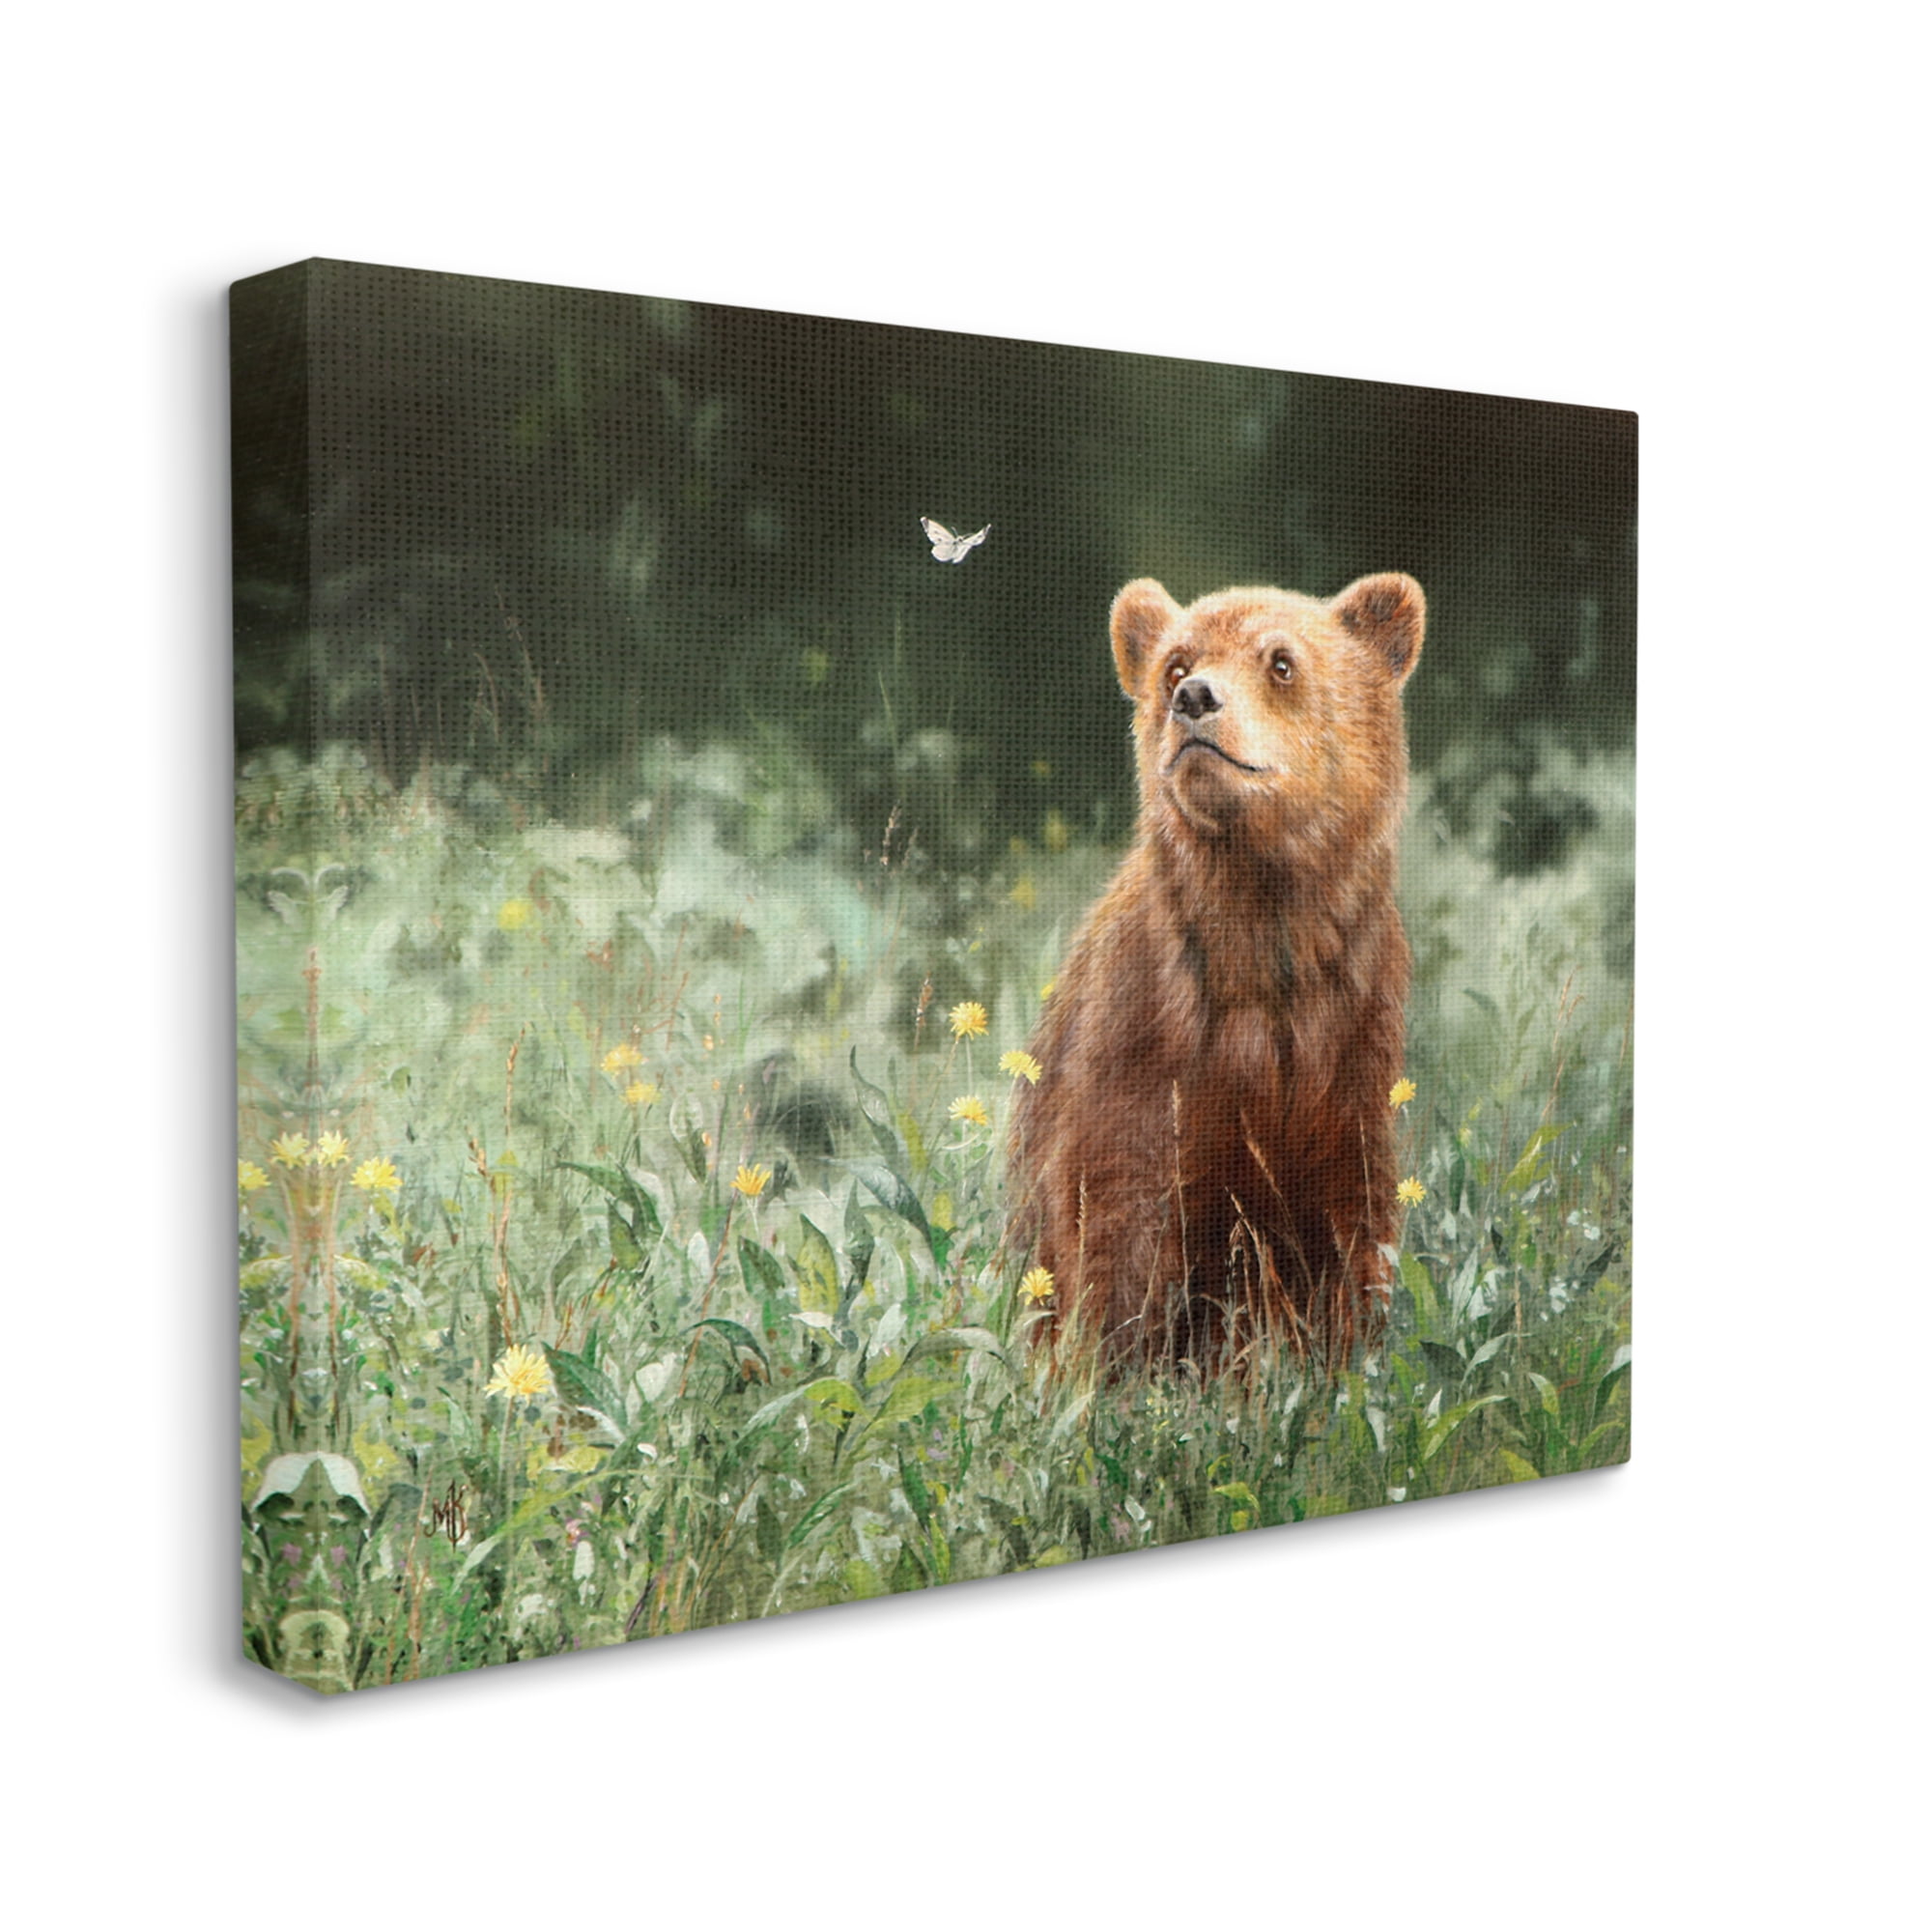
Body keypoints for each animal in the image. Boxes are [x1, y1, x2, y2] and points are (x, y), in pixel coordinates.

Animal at [1008, 570, 1425, 1373]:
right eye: (1175, 663)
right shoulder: (1145, 1040)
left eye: (1281, 662)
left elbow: (1345, 1224)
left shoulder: (1349, 1038)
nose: (1195, 698)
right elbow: (1116, 1222)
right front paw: (1116, 1371)